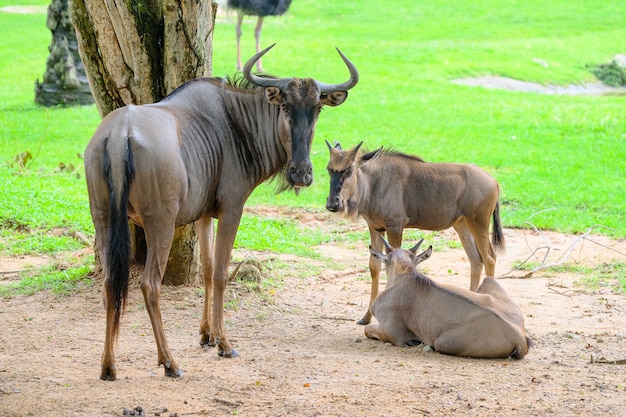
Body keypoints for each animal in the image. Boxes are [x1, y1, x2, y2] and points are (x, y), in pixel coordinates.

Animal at [84, 45, 356, 380]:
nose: (301, 173)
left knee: (111, 282)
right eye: (285, 107)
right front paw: (224, 343)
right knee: (149, 285)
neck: (235, 123)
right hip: (160, 223)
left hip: (104, 220)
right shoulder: (231, 208)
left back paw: (108, 365)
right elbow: (222, 272)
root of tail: (121, 133)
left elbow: (207, 270)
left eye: (317, 108)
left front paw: (207, 335)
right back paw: (169, 362)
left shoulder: (203, 215)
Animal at [324, 141, 504, 324]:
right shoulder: (375, 228)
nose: (332, 203)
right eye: (329, 168)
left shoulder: (395, 227)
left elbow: (394, 264)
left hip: (479, 224)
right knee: (476, 260)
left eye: (349, 169)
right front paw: (366, 317)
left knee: (489, 258)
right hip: (462, 226)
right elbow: (374, 267)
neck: (374, 183)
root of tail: (494, 181)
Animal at [364, 239, 528, 360]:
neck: (405, 273)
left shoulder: (393, 334)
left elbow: (367, 329)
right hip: (489, 281)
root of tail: (519, 338)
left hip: (441, 343)